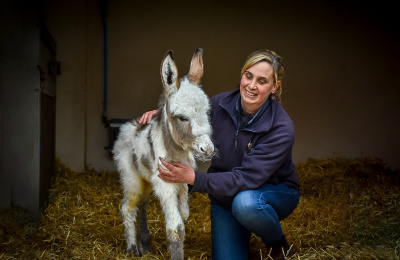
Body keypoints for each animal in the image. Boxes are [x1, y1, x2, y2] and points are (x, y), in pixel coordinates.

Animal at [113, 49, 212, 260]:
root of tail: (130, 126)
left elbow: (184, 215)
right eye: (182, 117)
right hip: (131, 178)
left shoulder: (182, 183)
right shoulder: (165, 184)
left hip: (147, 179)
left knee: (142, 204)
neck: (177, 153)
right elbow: (176, 227)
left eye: (207, 113)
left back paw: (145, 244)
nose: (207, 150)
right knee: (128, 207)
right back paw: (132, 249)